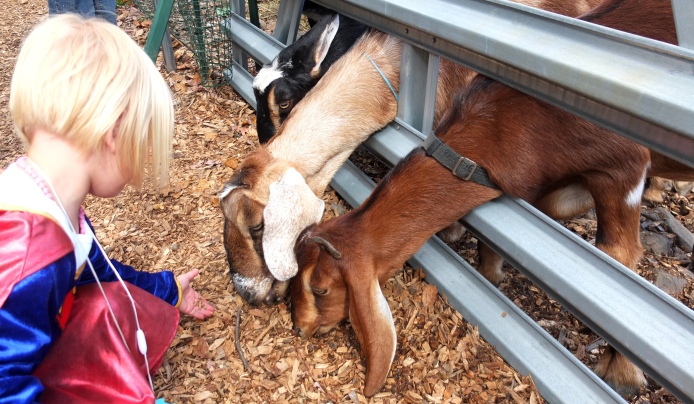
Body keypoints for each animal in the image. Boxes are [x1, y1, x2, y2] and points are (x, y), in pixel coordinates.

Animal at [290, 0, 694, 398]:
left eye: (320, 288)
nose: (299, 327)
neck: (515, 124)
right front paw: (490, 274)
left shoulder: (623, 168)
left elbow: (619, 256)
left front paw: (623, 372)